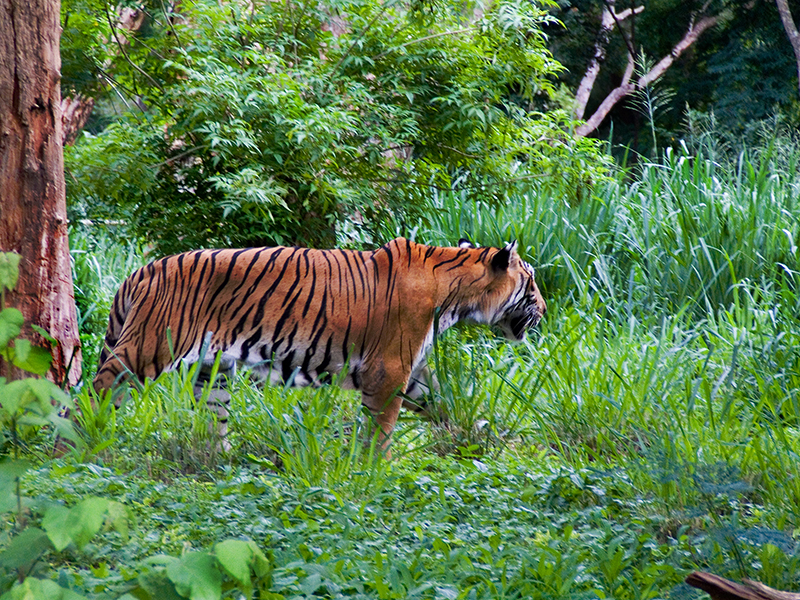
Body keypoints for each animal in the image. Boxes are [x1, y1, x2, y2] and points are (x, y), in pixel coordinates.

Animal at [92, 238, 544, 450]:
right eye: (532, 282)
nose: (544, 307)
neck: (457, 295)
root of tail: (143, 270)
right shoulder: (388, 370)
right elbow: (381, 429)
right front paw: (372, 469)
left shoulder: (410, 371)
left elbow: (441, 400)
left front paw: (478, 433)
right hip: (145, 349)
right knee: (96, 390)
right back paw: (82, 445)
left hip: (212, 371)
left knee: (212, 422)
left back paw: (218, 461)